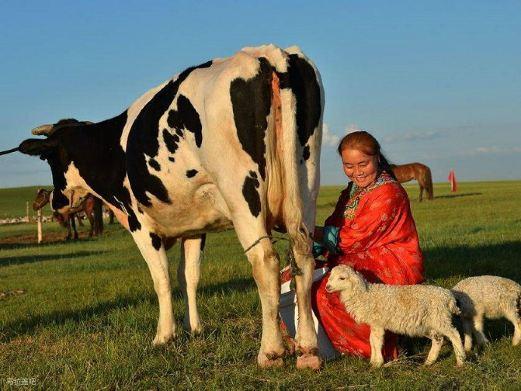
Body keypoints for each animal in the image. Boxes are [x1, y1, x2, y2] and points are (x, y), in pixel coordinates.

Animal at [16, 44, 322, 370]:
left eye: (49, 159)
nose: (55, 201)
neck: (112, 147)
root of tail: (266, 54)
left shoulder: (140, 223)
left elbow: (160, 277)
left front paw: (165, 335)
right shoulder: (195, 226)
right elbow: (188, 276)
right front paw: (194, 328)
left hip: (243, 193)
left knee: (265, 261)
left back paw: (271, 350)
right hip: (305, 185)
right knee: (302, 256)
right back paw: (308, 348)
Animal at [324, 264, 464, 370]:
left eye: (342, 278)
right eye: (330, 277)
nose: (327, 287)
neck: (364, 295)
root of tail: (448, 297)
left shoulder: (378, 323)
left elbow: (376, 341)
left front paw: (377, 363)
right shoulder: (374, 324)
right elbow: (372, 341)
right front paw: (373, 361)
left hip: (441, 318)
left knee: (454, 335)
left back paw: (461, 360)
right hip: (429, 324)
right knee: (438, 340)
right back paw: (429, 362)